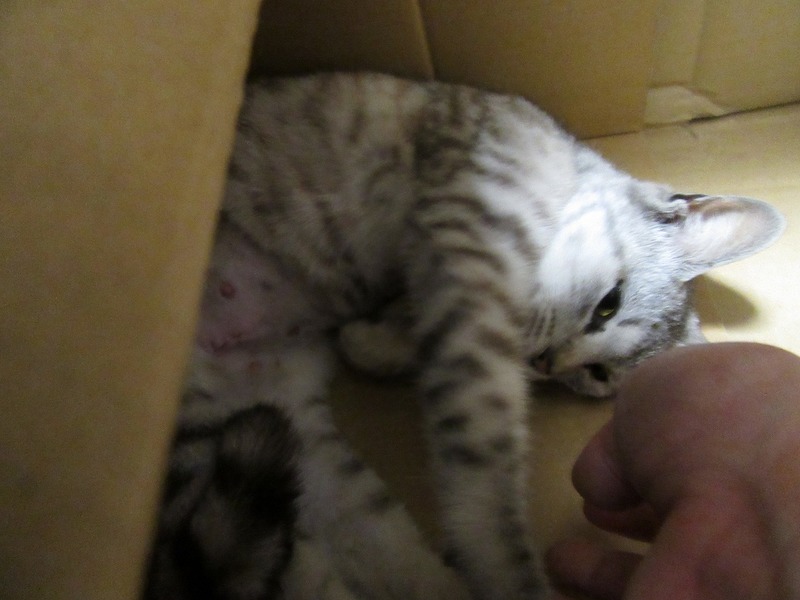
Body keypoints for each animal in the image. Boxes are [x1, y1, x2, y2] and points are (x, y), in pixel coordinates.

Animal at [144, 72, 785, 600]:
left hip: (303, 455)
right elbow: (486, 463)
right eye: (608, 305)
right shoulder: (466, 259)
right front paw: (512, 578)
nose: (550, 364)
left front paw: (369, 341)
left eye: (598, 375)